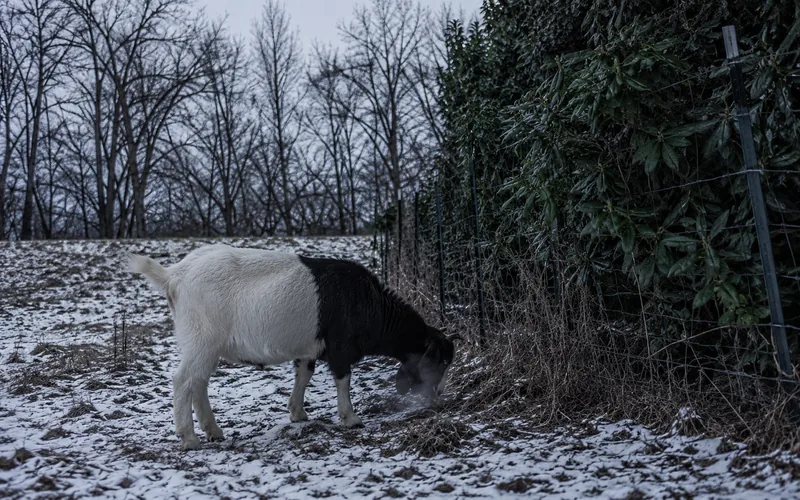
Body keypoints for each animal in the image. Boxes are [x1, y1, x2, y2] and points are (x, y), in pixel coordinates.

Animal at [128, 244, 458, 450]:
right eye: (440, 361)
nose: (438, 397)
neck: (371, 305)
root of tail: (174, 276)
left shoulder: (309, 349)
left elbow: (304, 374)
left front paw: (298, 413)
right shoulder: (340, 346)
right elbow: (343, 379)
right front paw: (351, 419)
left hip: (204, 345)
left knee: (198, 383)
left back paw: (214, 432)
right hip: (201, 338)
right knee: (183, 381)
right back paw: (189, 439)